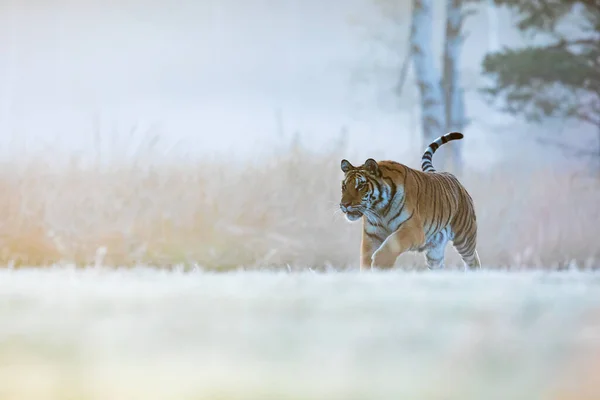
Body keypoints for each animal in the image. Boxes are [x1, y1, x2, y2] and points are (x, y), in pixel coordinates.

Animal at [340, 133, 480, 270]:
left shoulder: (412, 229)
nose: (344, 205)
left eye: (360, 186)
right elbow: (366, 258)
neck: (379, 210)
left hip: (465, 237)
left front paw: (379, 264)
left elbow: (391, 245)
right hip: (435, 251)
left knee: (473, 260)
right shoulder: (372, 235)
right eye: (344, 186)